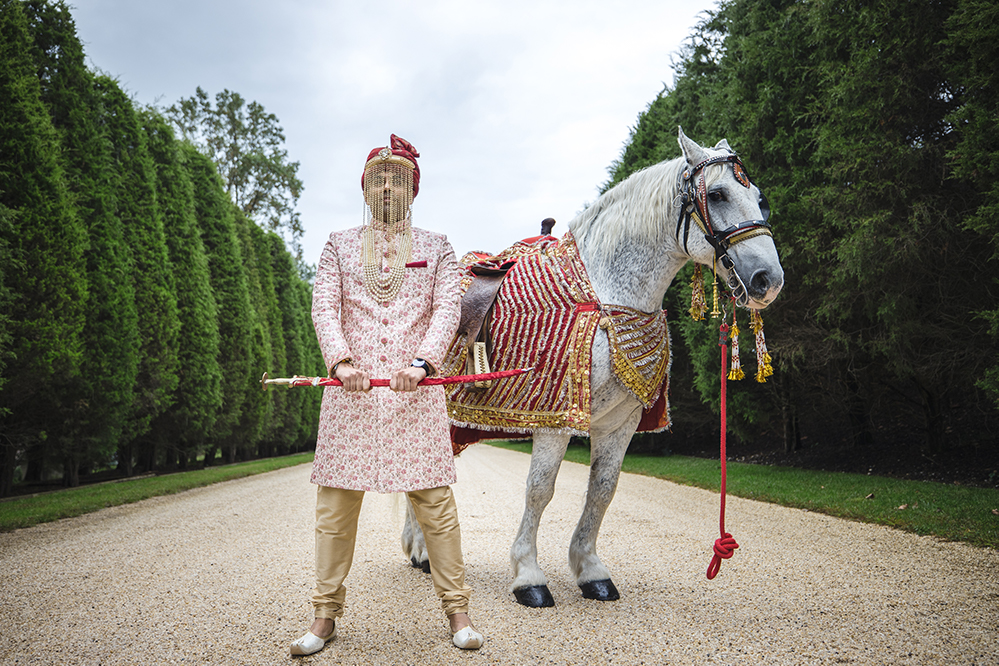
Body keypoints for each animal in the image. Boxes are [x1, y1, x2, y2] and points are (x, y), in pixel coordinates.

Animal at [402, 127, 784, 604]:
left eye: (759, 197)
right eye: (716, 194)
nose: (769, 280)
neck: (604, 296)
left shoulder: (622, 422)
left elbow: (603, 491)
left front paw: (590, 570)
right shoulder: (555, 415)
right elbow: (540, 490)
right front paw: (528, 575)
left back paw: (421, 549)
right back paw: (422, 550)